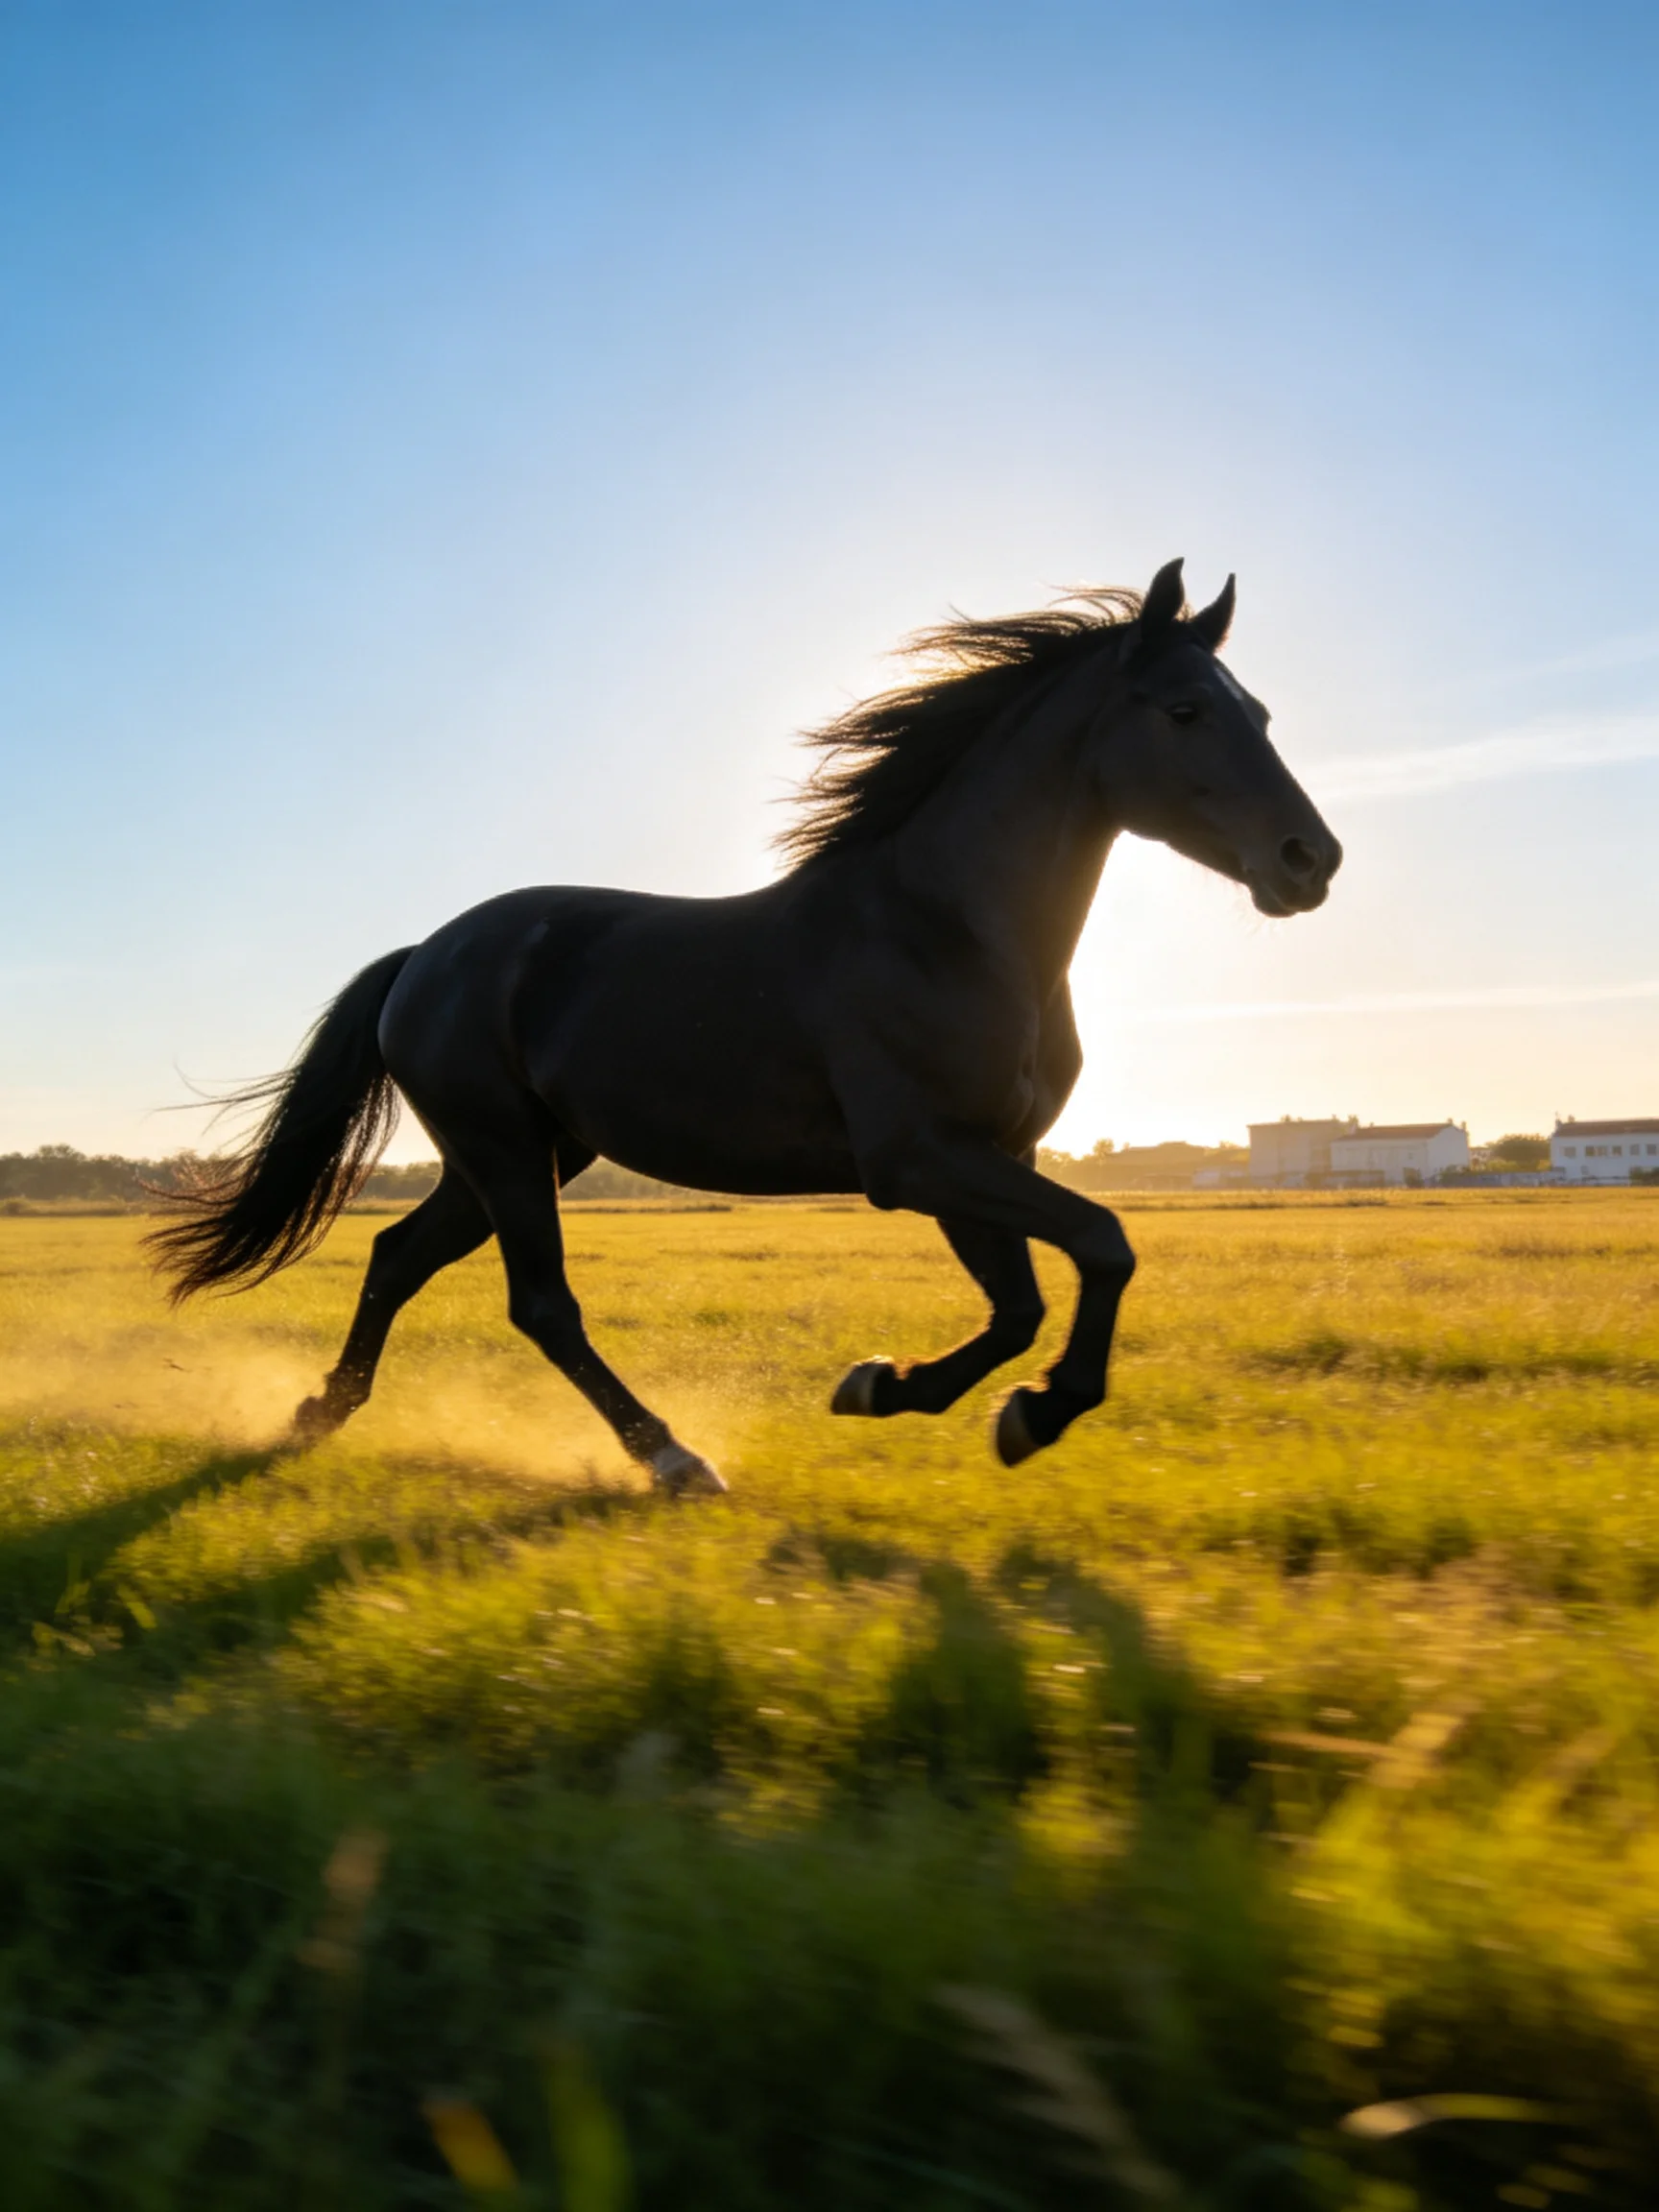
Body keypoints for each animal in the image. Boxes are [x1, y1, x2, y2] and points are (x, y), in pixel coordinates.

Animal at [149, 558, 1341, 1496]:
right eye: (1185, 711)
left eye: (1262, 714)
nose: (1309, 860)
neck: (947, 928)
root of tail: (423, 957)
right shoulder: (917, 1158)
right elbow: (1103, 1243)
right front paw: (1029, 1412)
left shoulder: (991, 1155)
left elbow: (1021, 1305)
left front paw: (892, 1389)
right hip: (502, 1148)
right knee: (541, 1303)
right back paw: (673, 1458)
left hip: (523, 1152)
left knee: (399, 1256)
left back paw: (320, 1413)